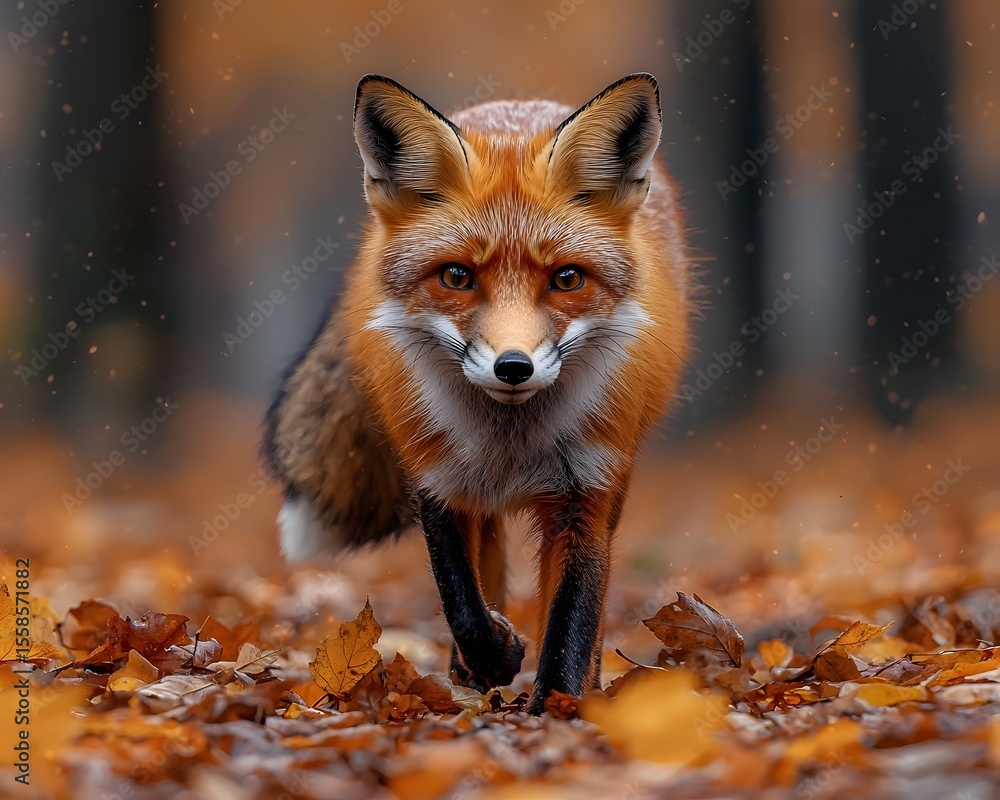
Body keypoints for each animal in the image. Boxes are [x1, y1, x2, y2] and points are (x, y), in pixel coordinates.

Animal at [263, 72, 692, 713]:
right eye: (456, 276)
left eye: (566, 278)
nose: (512, 367)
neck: (509, 440)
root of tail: (517, 104)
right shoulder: (435, 477)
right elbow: (461, 600)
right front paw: (493, 657)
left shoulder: (587, 490)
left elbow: (572, 618)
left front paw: (559, 704)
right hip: (474, 492)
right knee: (483, 572)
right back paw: (466, 675)